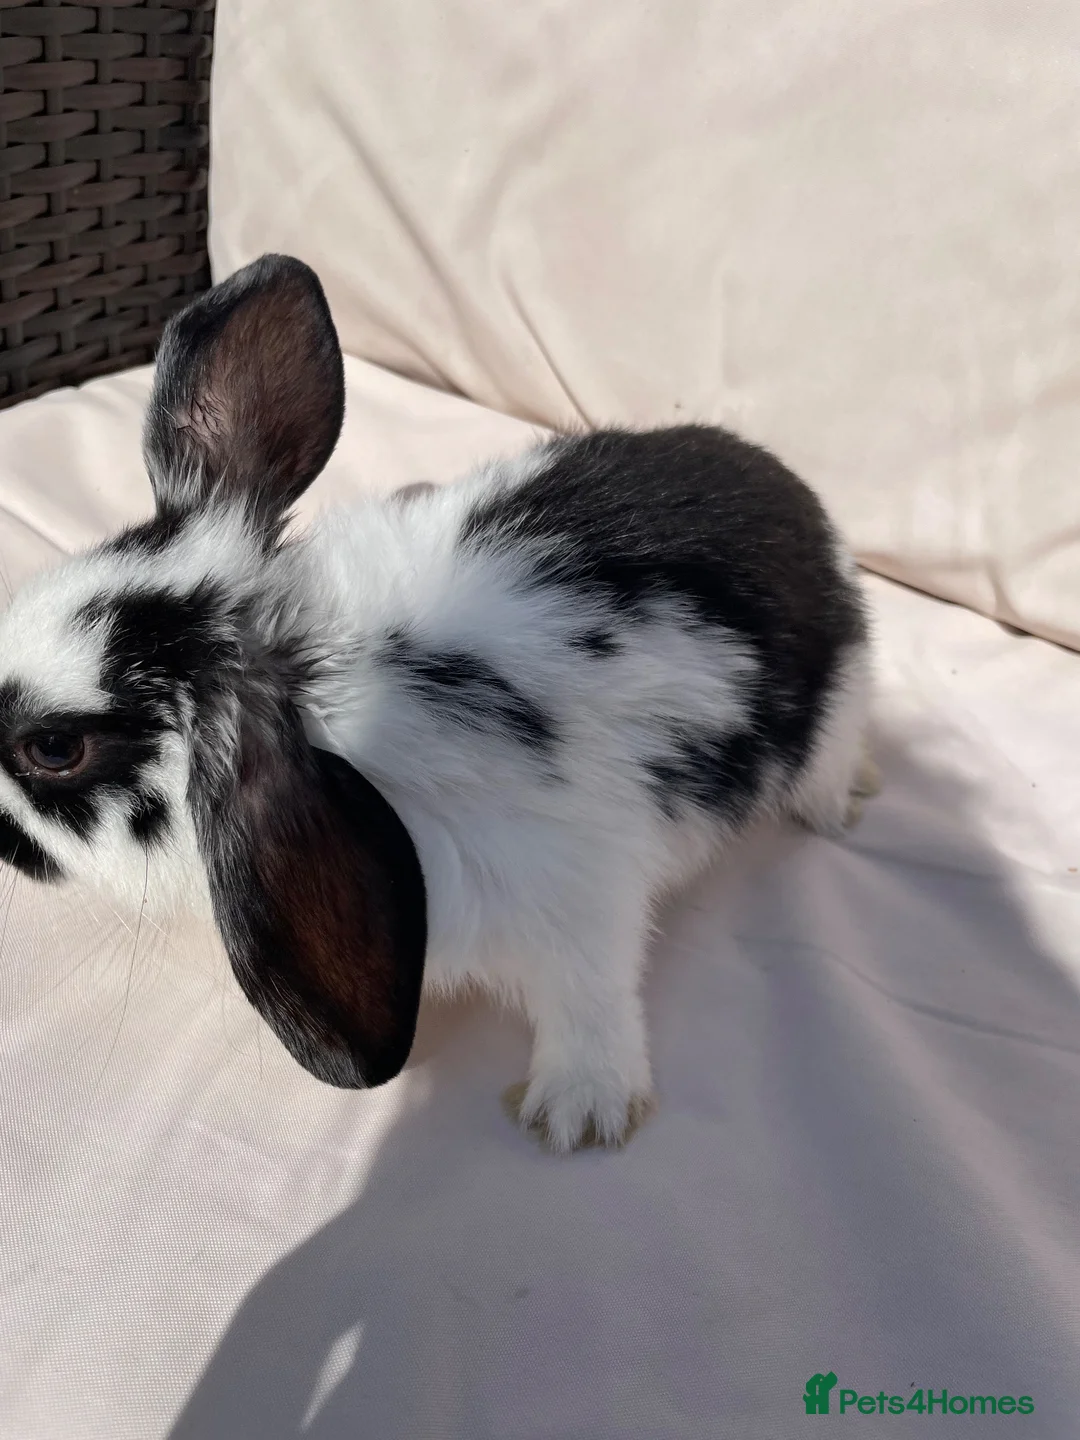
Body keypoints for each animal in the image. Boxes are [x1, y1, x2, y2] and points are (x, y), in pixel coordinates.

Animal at [0, 254, 876, 1153]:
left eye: (54, 749)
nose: (5, 848)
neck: (325, 680)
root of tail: (792, 491)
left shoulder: (579, 894)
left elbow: (591, 1000)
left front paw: (579, 1113)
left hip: (840, 699)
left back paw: (841, 807)